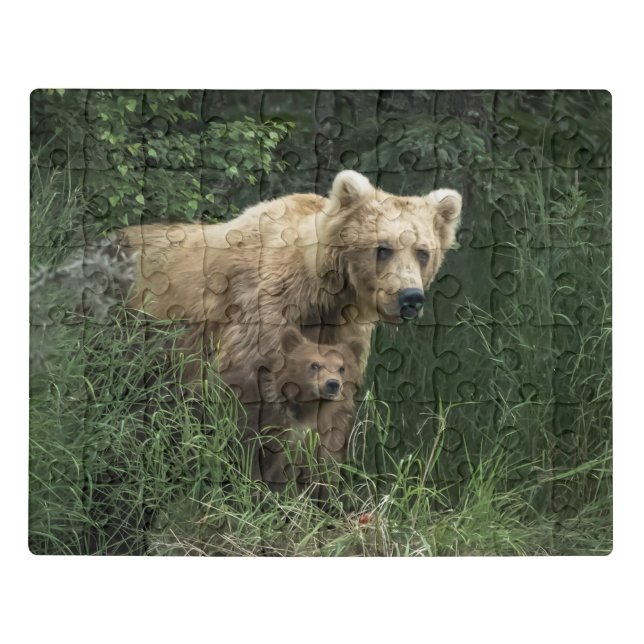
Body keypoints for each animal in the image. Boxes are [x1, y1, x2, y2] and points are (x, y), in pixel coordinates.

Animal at [119, 170, 462, 389]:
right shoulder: (262, 314)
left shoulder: (339, 330)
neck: (325, 295)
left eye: (422, 252)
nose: (410, 297)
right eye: (383, 248)